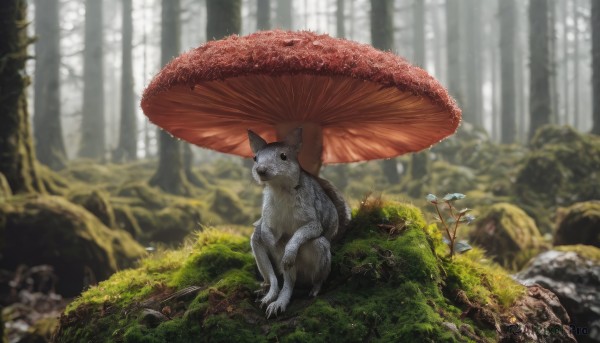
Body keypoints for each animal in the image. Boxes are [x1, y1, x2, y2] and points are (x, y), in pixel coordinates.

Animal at [247, 127, 352, 318]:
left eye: (283, 156)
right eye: (255, 158)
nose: (260, 170)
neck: (280, 189)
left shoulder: (312, 218)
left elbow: (305, 231)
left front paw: (289, 250)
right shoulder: (269, 215)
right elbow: (265, 227)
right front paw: (267, 235)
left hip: (319, 249)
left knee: (311, 278)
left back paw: (307, 289)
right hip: (261, 251)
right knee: (273, 276)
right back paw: (269, 292)